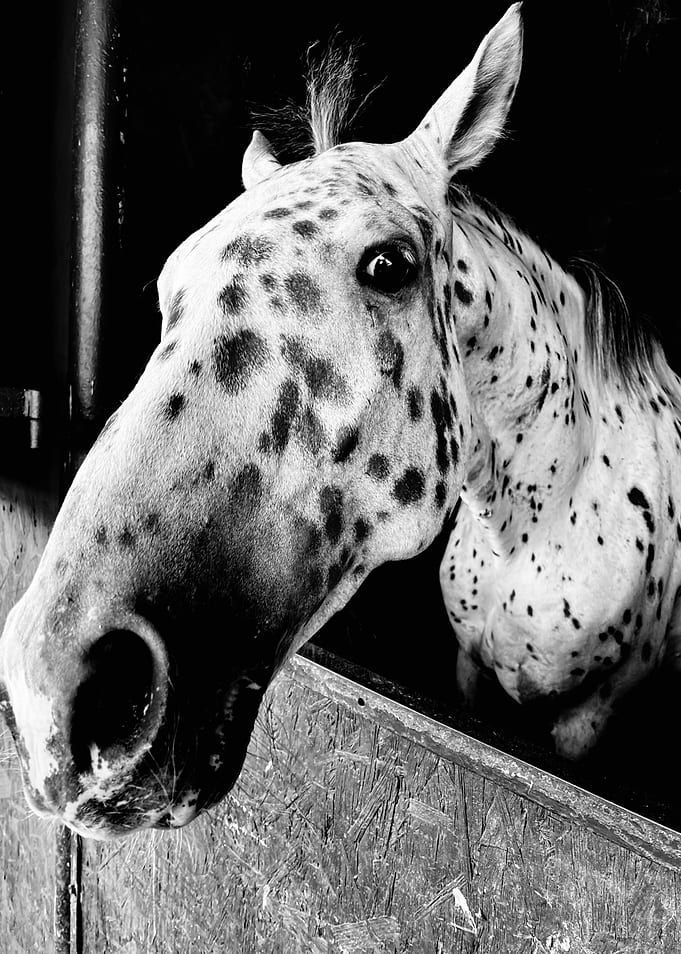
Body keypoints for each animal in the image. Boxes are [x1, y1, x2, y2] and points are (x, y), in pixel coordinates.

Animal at [1, 3, 680, 839]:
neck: (542, 521)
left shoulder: (588, 718)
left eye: (389, 265)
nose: (51, 689)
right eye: (168, 284)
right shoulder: (467, 669)